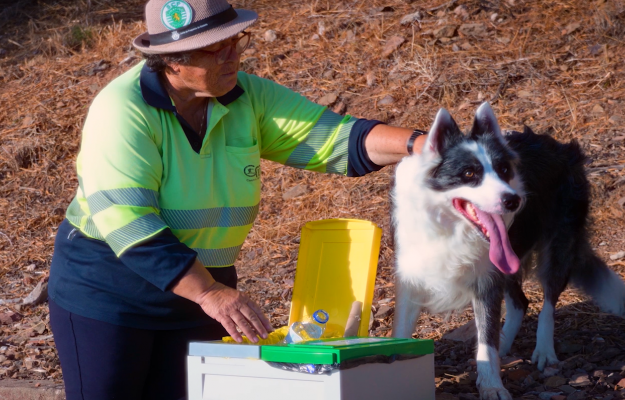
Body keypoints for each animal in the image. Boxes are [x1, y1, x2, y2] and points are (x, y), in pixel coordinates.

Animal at [390, 104, 624, 400]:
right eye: (469, 174)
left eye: (503, 169)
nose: (513, 200)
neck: (450, 227)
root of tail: (559, 145)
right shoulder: (412, 278)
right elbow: (401, 334)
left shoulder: (486, 281)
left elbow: (487, 341)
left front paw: (492, 385)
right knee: (519, 303)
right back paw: (504, 345)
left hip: (556, 248)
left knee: (547, 302)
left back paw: (543, 350)